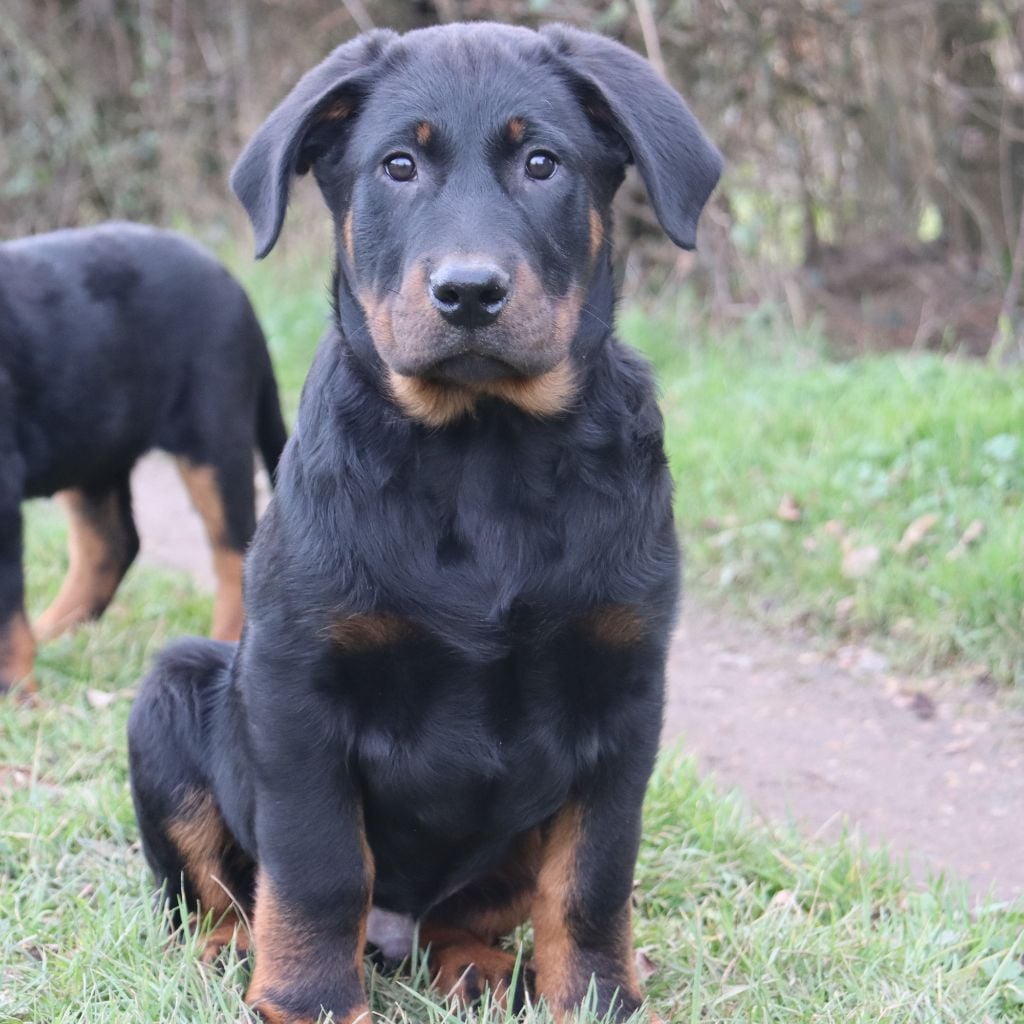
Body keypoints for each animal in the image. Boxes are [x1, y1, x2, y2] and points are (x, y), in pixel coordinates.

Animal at [0, 223, 286, 696]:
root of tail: (227, 279)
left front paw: (17, 694)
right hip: (92, 447)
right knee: (110, 545)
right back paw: (51, 635)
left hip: (213, 434)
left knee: (233, 552)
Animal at [128, 23, 720, 1023]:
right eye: (398, 166)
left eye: (542, 163)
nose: (470, 292)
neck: (483, 451)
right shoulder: (298, 687)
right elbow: (319, 868)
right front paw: (311, 1000)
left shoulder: (626, 689)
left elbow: (593, 878)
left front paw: (597, 999)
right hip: (172, 693)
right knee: (214, 890)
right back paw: (229, 949)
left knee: (467, 915)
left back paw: (477, 967)